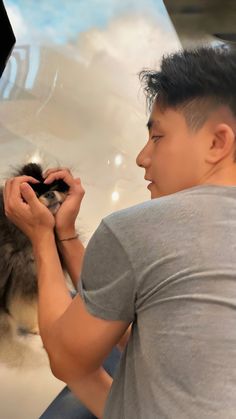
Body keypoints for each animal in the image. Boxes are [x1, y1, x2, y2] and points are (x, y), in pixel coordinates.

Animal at [0, 164, 69, 338]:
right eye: (35, 195)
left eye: (54, 187)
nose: (50, 194)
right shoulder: (26, 277)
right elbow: (28, 308)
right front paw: (35, 327)